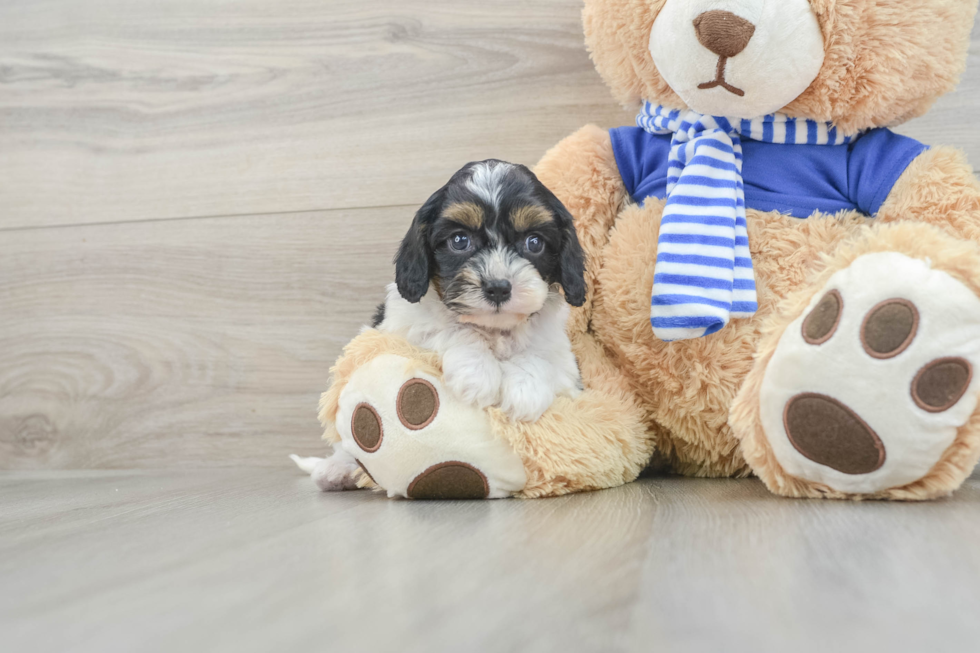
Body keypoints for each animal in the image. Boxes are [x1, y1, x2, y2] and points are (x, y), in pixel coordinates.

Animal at [378, 160, 584, 420]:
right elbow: (451, 328)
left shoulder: (562, 356)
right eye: (459, 240)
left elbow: (541, 352)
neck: (495, 329)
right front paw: (477, 372)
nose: (498, 288)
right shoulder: (404, 324)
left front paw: (526, 389)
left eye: (534, 242)